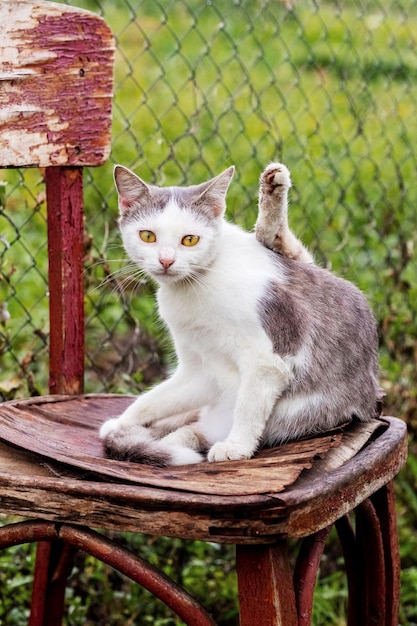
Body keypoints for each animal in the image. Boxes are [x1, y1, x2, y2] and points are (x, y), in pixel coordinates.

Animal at [100, 161, 380, 464]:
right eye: (148, 236)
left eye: (190, 240)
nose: (166, 260)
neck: (196, 286)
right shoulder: (199, 370)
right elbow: (154, 399)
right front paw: (122, 423)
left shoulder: (269, 358)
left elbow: (249, 406)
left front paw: (237, 446)